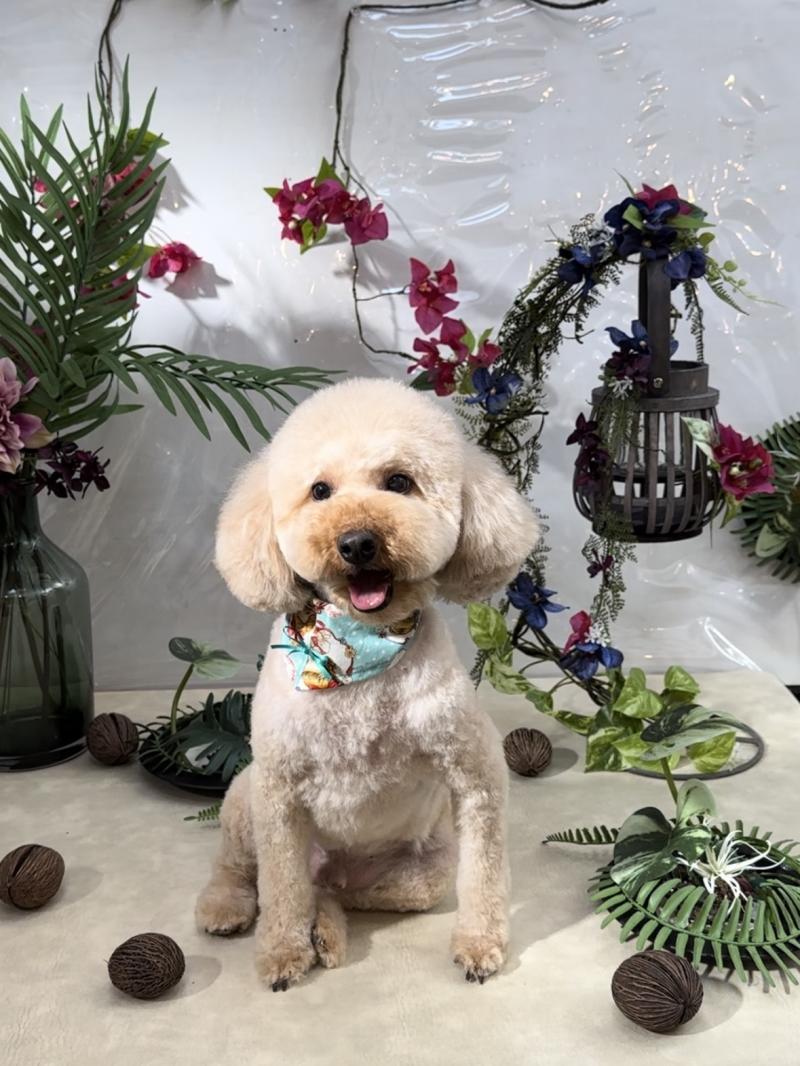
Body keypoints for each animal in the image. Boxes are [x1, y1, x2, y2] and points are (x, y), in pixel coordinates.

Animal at [196, 377, 538, 989]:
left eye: (398, 481)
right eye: (320, 491)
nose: (356, 542)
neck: (359, 655)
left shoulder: (475, 773)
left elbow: (485, 874)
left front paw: (479, 943)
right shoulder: (277, 793)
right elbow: (279, 890)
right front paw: (281, 953)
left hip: (421, 875)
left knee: (330, 891)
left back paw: (326, 929)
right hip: (242, 797)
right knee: (246, 870)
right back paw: (227, 906)